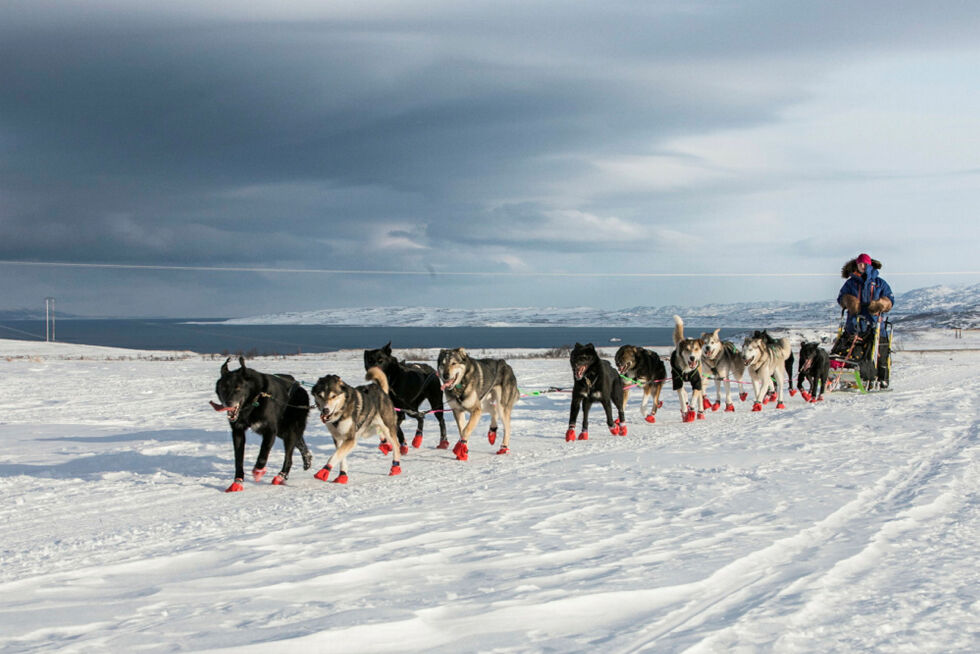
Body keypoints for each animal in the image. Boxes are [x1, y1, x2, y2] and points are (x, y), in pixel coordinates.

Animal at [211, 358, 310, 492]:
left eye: (237, 387)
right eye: (223, 387)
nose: (228, 403)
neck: (254, 400)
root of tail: (299, 386)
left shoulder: (270, 431)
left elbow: (263, 453)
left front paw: (258, 472)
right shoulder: (238, 432)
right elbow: (238, 459)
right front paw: (238, 481)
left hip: (289, 430)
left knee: (289, 456)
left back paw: (281, 475)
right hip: (283, 431)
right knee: (299, 442)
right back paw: (307, 459)